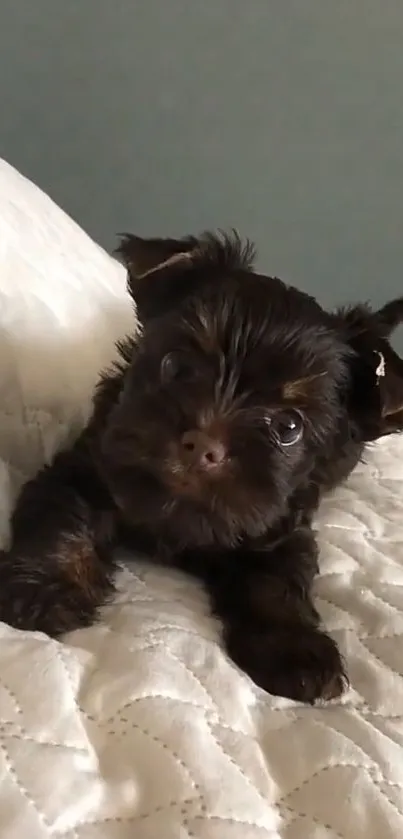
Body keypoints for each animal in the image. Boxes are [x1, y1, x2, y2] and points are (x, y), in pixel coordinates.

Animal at [0, 233, 403, 704]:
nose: (203, 446)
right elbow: (63, 521)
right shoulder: (86, 469)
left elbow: (277, 582)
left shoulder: (280, 530)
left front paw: (294, 648)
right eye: (176, 365)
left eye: (289, 427)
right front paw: (44, 586)